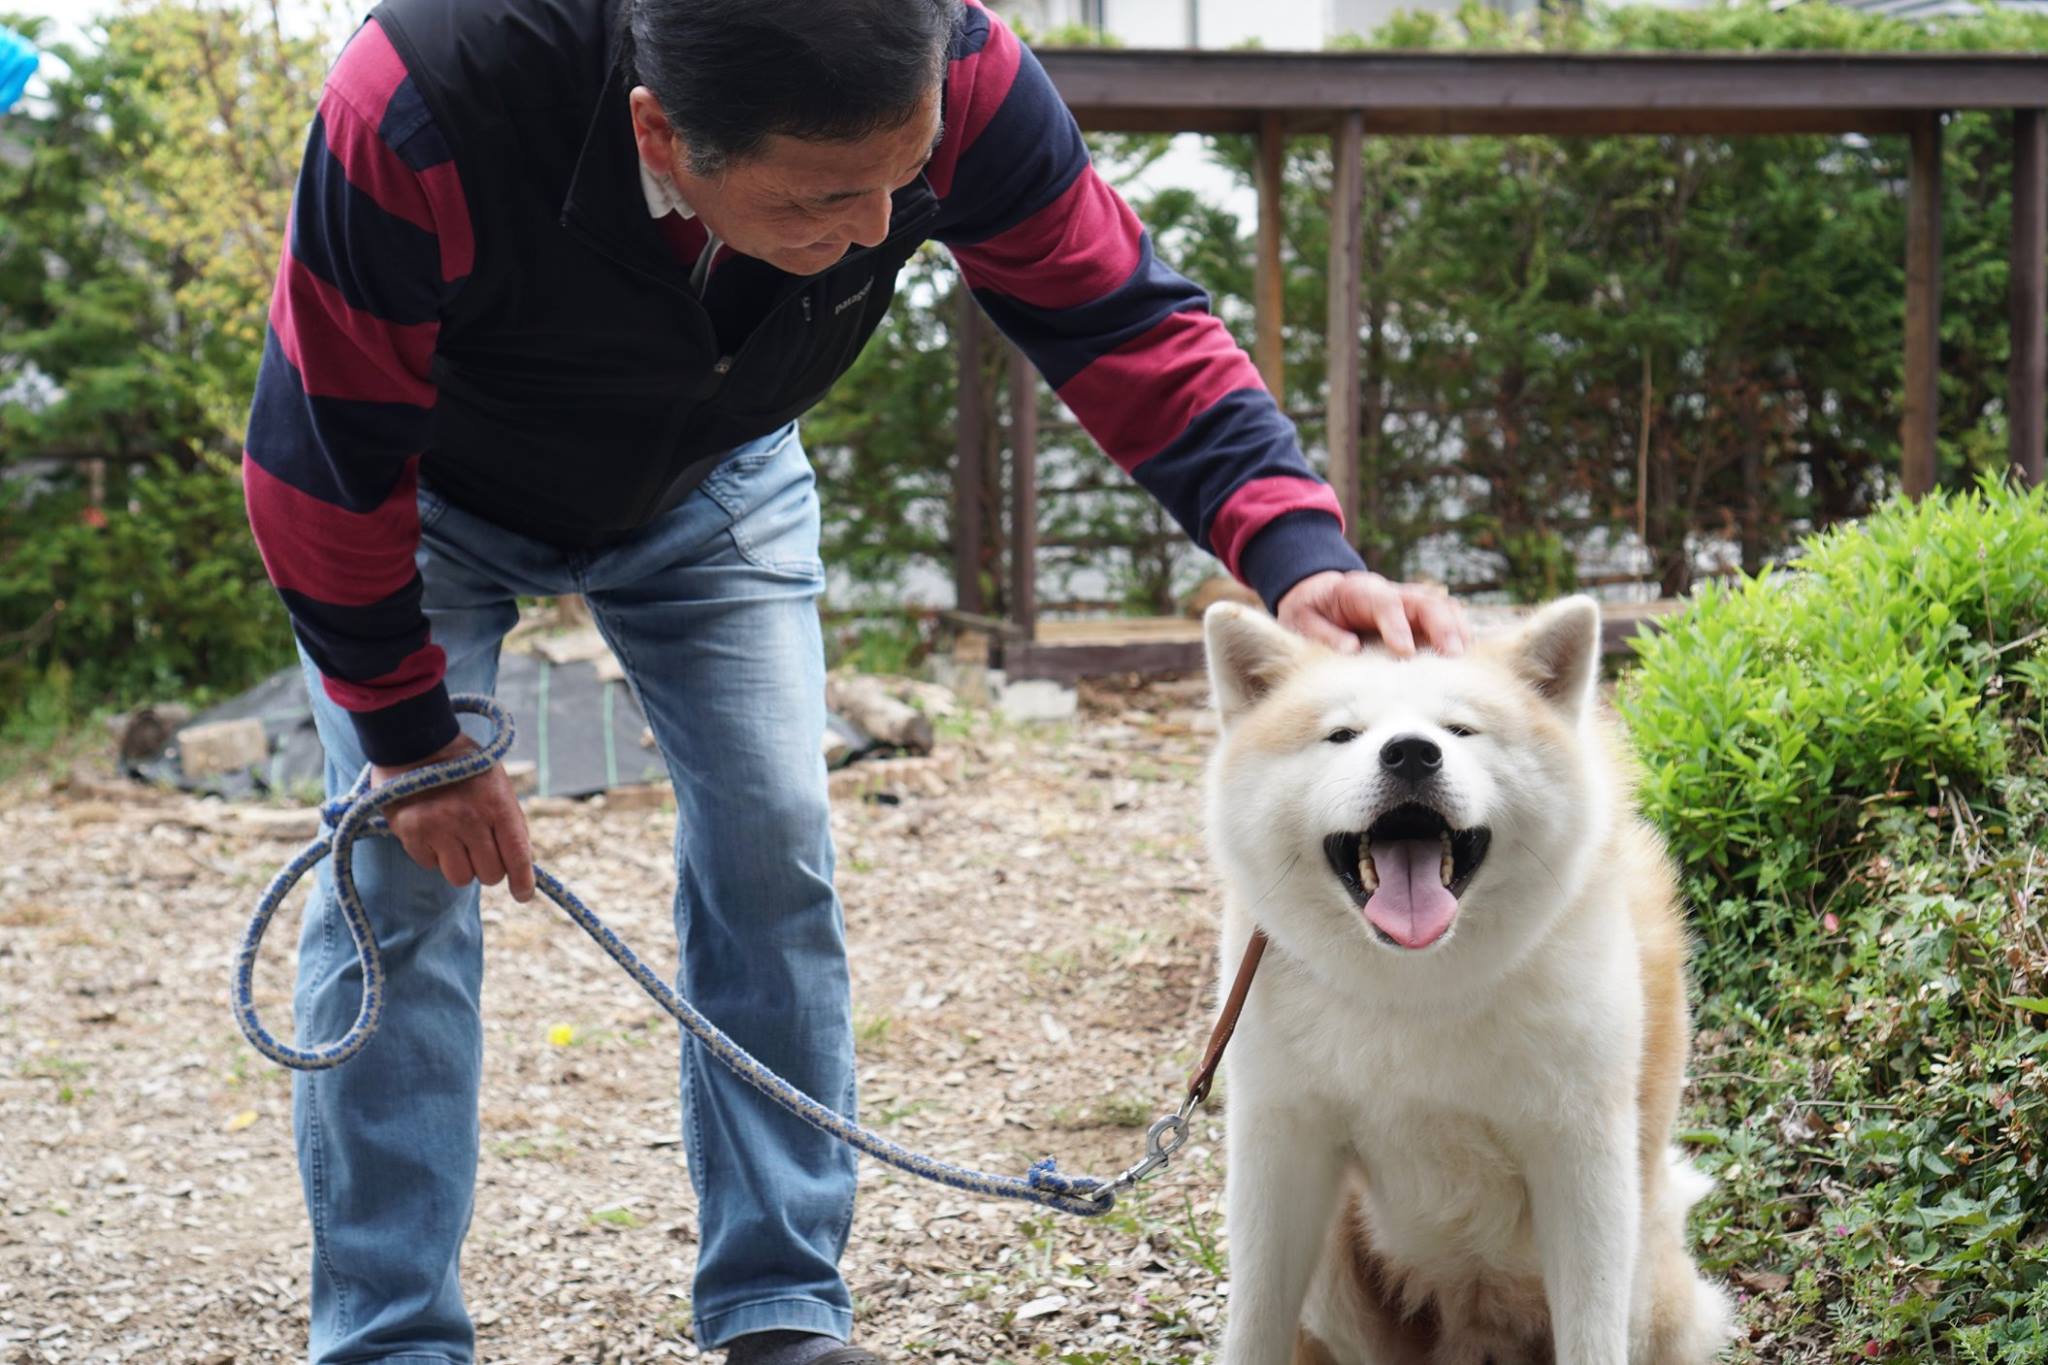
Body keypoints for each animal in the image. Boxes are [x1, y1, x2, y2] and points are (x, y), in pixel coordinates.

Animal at [1196, 597, 1744, 1365]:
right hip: (1336, 1271)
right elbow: (1253, 1326)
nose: (1410, 752)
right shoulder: (1282, 1152)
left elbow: (1591, 1337)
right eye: (1342, 735)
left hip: (1645, 1271)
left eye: (1459, 730)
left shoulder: (1582, 1161)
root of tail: (1477, 1334)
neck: (1415, 986)